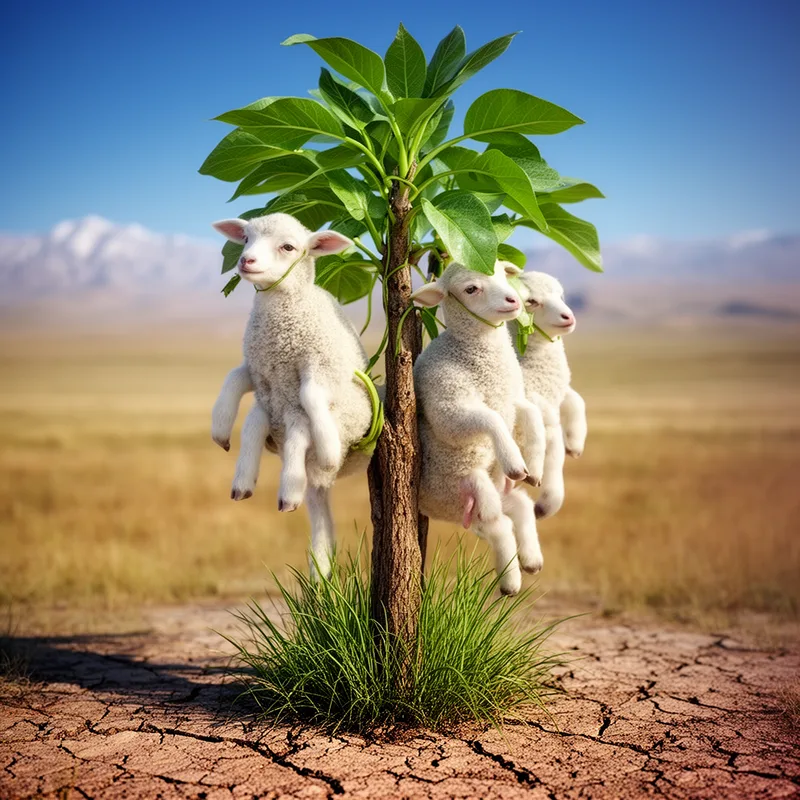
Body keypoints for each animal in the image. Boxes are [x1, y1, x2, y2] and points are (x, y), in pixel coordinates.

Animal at [210, 213, 373, 578]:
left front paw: (328, 447)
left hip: (309, 414)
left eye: (288, 247)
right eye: (245, 239)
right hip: (275, 408)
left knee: (300, 435)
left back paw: (292, 488)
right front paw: (220, 427)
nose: (246, 261)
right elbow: (232, 377)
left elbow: (312, 394)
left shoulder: (321, 367)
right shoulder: (258, 369)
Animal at [411, 260, 547, 596]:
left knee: (520, 505)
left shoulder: (513, 398)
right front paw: (514, 461)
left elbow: (533, 416)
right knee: (499, 526)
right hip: (463, 489)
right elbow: (490, 419)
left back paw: (531, 560)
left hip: (488, 492)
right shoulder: (448, 401)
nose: (514, 300)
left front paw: (534, 468)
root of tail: (431, 509)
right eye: (471, 289)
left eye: (501, 273)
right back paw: (511, 581)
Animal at [509, 269, 587, 520]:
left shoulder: (557, 393)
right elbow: (553, 456)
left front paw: (575, 442)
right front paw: (543, 505)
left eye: (561, 295)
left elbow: (576, 400)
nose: (568, 316)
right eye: (532, 302)